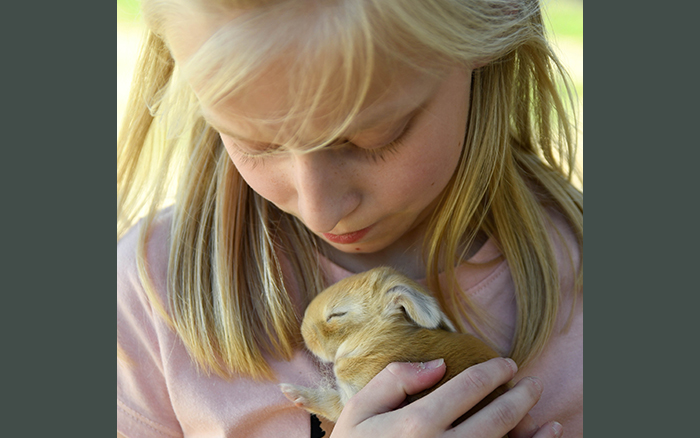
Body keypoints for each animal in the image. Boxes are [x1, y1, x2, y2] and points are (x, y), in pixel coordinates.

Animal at [278, 266, 508, 428]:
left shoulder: (354, 395)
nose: (304, 333)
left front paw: (292, 392)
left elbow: (329, 404)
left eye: (336, 314)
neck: (377, 339)